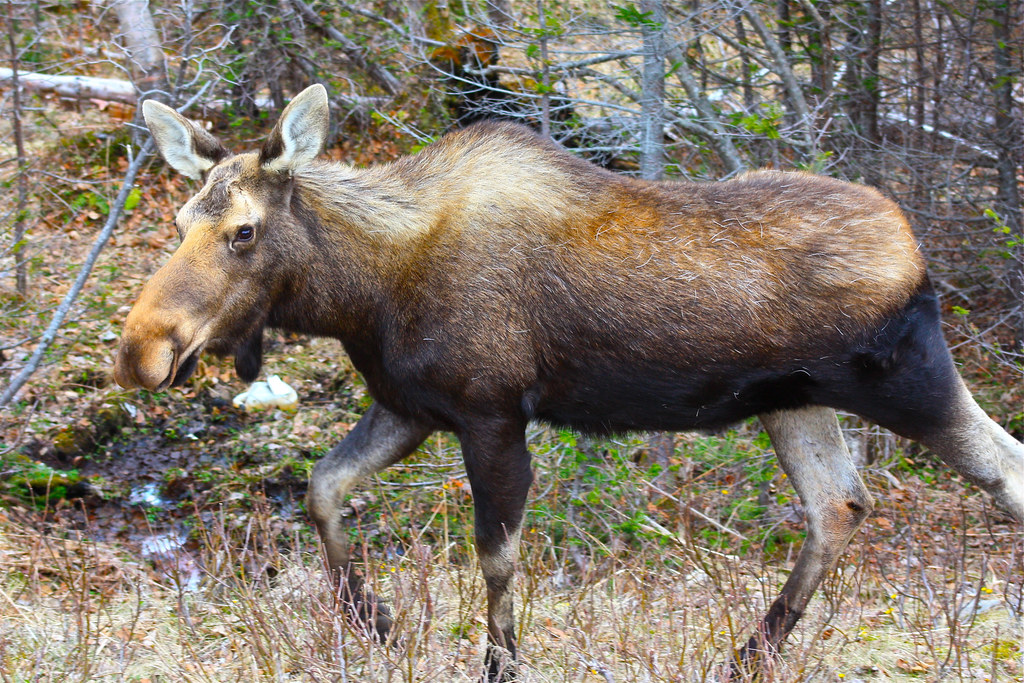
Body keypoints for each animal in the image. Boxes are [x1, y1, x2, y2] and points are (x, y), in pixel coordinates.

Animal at [114, 84, 1024, 680]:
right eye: (179, 220)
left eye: (242, 230)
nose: (140, 350)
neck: (361, 293)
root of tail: (916, 251)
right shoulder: (410, 407)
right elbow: (324, 487)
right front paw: (376, 623)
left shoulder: (490, 412)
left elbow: (496, 557)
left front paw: (496, 663)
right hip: (795, 402)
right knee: (839, 503)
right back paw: (747, 655)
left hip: (909, 379)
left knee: (1003, 470)